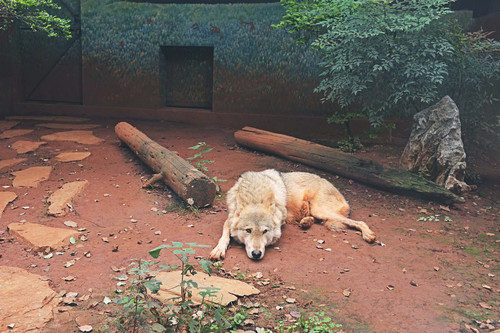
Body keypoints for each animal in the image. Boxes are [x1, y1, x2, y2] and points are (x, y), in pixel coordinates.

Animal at [209, 170, 376, 260]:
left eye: (265, 231)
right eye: (248, 230)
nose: (256, 254)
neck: (256, 196)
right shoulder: (230, 217)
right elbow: (225, 233)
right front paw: (219, 249)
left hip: (320, 210)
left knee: (359, 222)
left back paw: (368, 235)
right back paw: (305, 222)